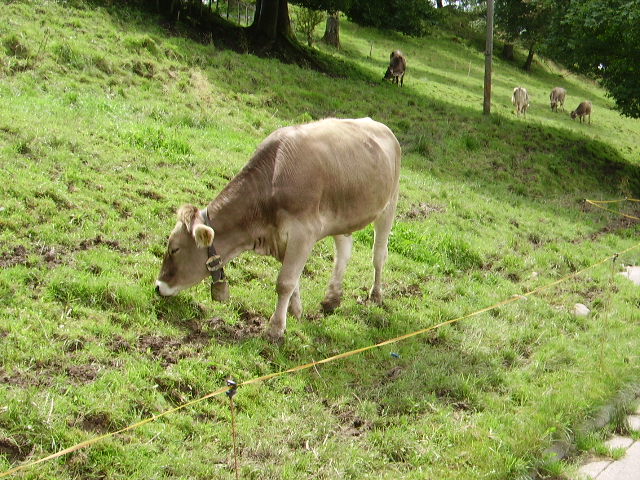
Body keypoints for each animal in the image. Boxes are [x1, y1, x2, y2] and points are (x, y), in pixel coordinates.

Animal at [155, 116, 400, 342]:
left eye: (174, 249)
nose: (158, 287)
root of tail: (379, 125)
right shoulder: (282, 238)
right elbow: (293, 279)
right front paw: (295, 312)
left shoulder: (303, 233)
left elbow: (285, 282)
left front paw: (275, 329)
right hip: (342, 217)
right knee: (343, 253)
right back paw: (332, 299)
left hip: (389, 206)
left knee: (379, 255)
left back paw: (376, 295)